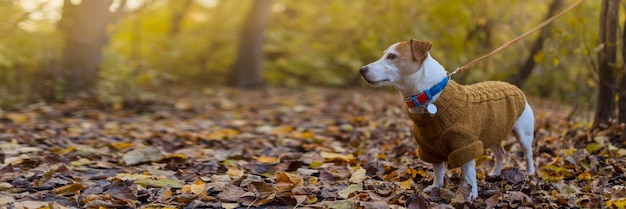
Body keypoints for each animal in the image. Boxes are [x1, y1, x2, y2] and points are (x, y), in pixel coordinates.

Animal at [358, 38, 532, 200]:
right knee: (501, 153)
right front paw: (436, 187)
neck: (431, 95)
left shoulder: (465, 145)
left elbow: (469, 175)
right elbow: (438, 171)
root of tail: (513, 87)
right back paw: (495, 172)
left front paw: (470, 194)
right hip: (493, 132)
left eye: (392, 56)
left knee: (528, 153)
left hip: (523, 135)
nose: (361, 70)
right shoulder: (430, 148)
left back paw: (530, 173)